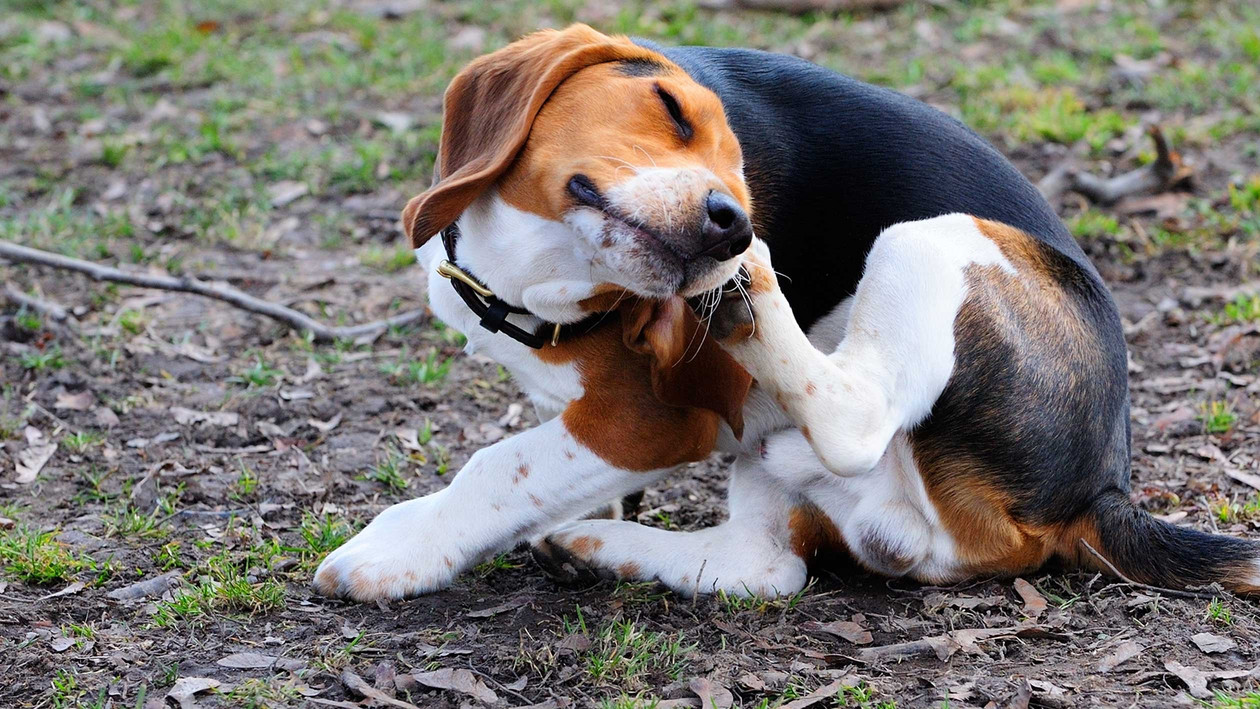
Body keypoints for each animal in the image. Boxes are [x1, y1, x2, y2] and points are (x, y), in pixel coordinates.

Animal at [309, 23, 1254, 599]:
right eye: (668, 106)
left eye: (747, 178)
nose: (734, 222)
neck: (530, 274)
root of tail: (1100, 488)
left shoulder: (648, 420)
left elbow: (497, 467)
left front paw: (398, 550)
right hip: (780, 471)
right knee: (762, 568)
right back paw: (601, 545)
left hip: (929, 237)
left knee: (853, 418)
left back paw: (756, 303)